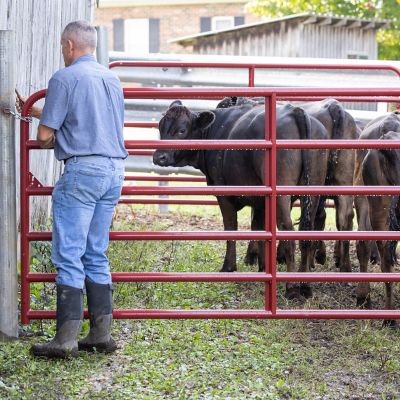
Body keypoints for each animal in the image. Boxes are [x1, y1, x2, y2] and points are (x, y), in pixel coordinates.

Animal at [153, 100, 328, 300]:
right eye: (161, 127)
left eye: (182, 130)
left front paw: (228, 267)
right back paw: (305, 286)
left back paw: (291, 288)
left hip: (282, 196)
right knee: (307, 235)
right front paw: (263, 268)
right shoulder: (261, 202)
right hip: (312, 191)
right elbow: (260, 231)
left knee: (288, 234)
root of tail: (296, 111)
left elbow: (231, 229)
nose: (159, 157)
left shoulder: (225, 195)